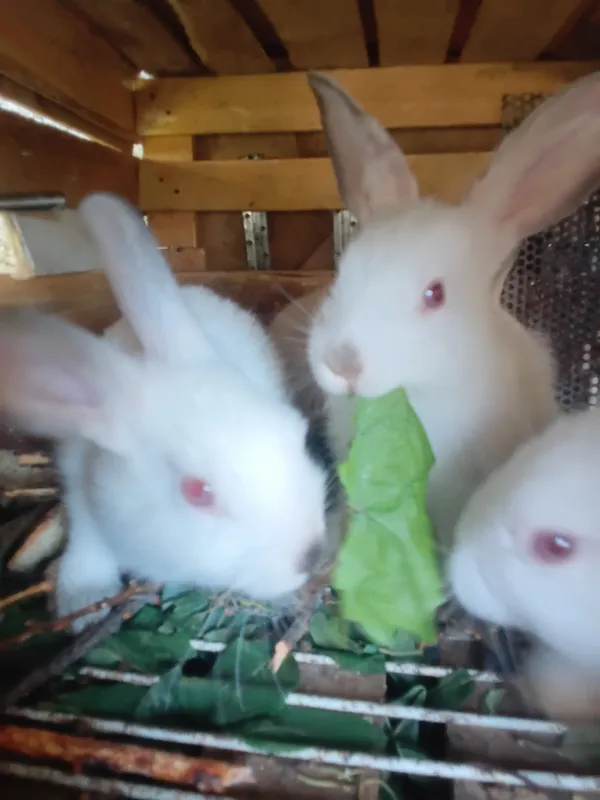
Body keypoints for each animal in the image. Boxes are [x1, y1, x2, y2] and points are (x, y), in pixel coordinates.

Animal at [0, 192, 337, 632]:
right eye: (197, 492)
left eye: (297, 435)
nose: (310, 554)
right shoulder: (79, 489)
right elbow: (88, 545)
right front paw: (83, 601)